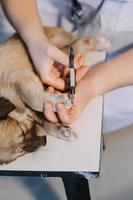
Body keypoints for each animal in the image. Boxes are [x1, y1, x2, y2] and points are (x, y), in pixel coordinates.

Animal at [0, 26, 109, 164]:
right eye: (21, 152)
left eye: (22, 131)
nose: (44, 142)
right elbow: (44, 122)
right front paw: (64, 131)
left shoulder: (19, 78)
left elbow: (32, 99)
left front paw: (62, 101)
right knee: (77, 45)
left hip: (59, 46)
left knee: (76, 43)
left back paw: (100, 43)